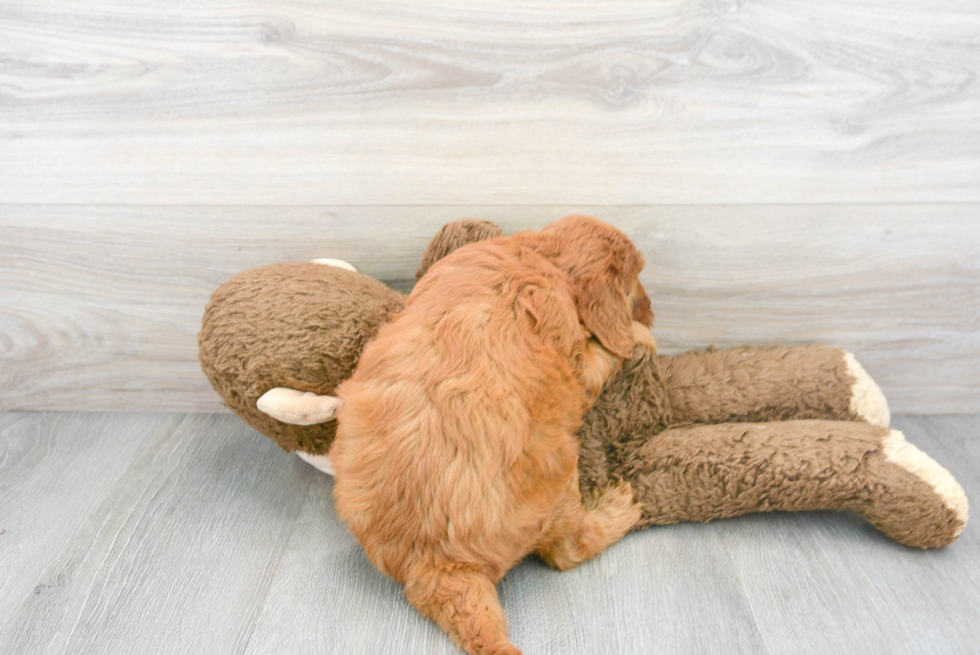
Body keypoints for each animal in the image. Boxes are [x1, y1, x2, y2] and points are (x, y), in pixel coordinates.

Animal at [332, 217, 660, 655]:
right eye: (634, 283)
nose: (653, 309)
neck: (541, 254)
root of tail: (438, 566)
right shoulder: (573, 356)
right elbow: (604, 354)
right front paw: (642, 335)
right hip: (558, 483)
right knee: (568, 550)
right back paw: (618, 507)